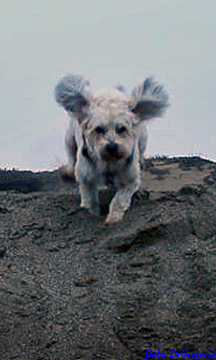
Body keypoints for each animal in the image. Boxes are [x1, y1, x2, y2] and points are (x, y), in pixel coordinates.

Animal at [54, 75, 169, 224]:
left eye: (122, 129)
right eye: (98, 129)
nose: (112, 146)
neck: (109, 161)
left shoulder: (129, 178)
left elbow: (120, 199)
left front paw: (114, 217)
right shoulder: (87, 176)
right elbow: (89, 198)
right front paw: (92, 214)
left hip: (142, 141)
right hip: (70, 139)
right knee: (71, 156)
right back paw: (68, 172)